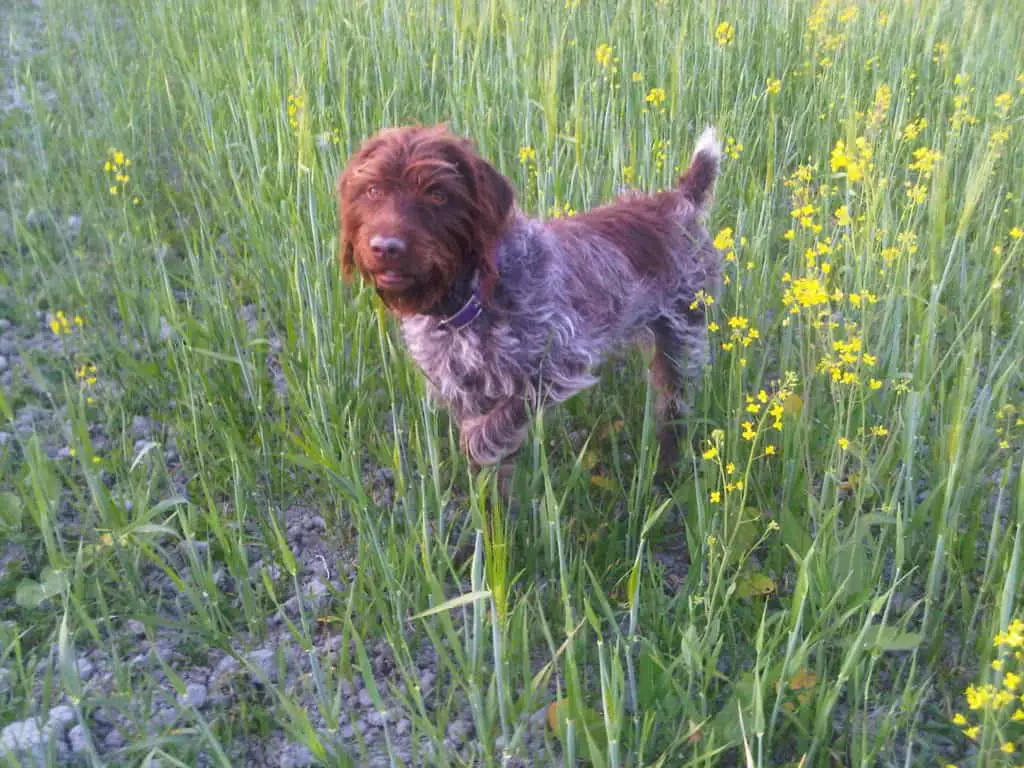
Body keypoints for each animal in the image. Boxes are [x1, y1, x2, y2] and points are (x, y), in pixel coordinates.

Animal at [335, 123, 720, 479]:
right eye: (373, 190)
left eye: (438, 195)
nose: (386, 247)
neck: (470, 298)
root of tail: (678, 200)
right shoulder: (462, 388)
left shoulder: (558, 364)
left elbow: (492, 427)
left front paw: (481, 445)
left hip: (682, 342)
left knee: (673, 411)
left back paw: (667, 473)